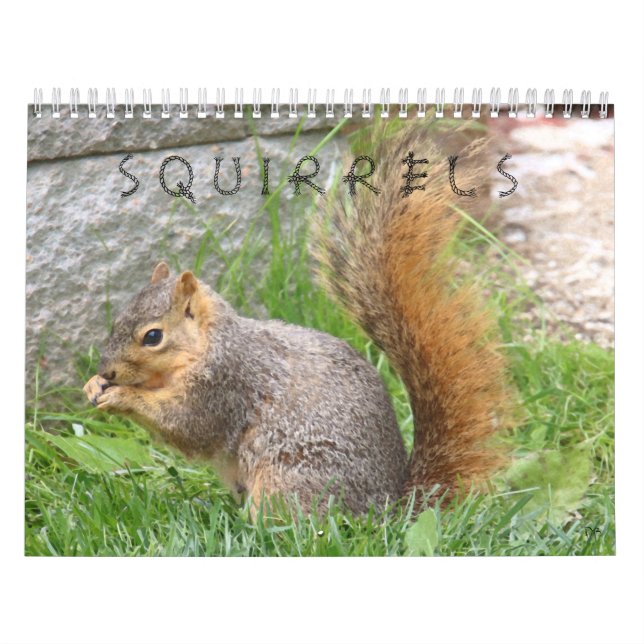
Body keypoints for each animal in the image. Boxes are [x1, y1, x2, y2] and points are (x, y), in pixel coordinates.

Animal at [83, 123, 513, 515]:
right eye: (118, 320)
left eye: (153, 337)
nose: (108, 371)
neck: (208, 344)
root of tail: (388, 508)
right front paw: (93, 386)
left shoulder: (225, 384)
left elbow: (188, 427)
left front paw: (122, 396)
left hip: (289, 478)